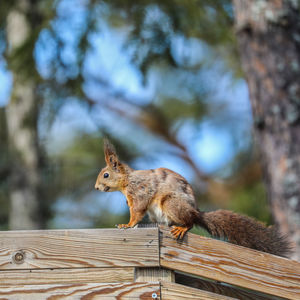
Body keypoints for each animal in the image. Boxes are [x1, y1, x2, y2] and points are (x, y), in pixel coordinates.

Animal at [95, 139, 290, 256]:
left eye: (106, 175)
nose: (96, 187)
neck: (127, 181)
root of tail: (196, 212)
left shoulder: (140, 191)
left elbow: (136, 212)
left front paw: (127, 225)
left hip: (171, 203)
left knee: (190, 222)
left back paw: (183, 227)